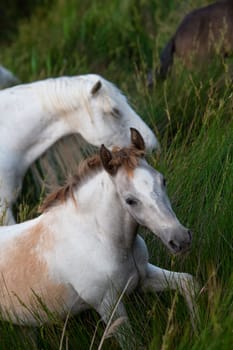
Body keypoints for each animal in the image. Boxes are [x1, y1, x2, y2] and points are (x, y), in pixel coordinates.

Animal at [0, 129, 196, 350]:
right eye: (130, 200)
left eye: (163, 180)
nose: (180, 239)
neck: (98, 237)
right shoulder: (108, 305)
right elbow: (132, 344)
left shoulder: (143, 278)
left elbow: (187, 283)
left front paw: (198, 329)